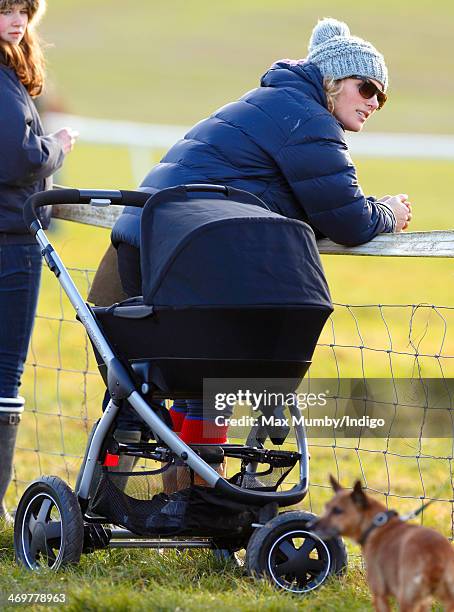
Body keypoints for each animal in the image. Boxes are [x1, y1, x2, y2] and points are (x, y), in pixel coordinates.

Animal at [312, 478, 454, 612]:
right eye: (326, 507)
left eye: (337, 510)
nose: (310, 526)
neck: (376, 526)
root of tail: (434, 554)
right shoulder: (424, 602)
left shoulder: (379, 594)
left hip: (406, 599)